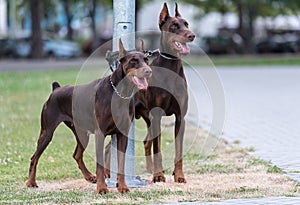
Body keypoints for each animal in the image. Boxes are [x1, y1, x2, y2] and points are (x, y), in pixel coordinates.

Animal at [25, 38, 152, 194]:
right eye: (133, 61)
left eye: (146, 59)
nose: (148, 71)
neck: (119, 93)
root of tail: (56, 89)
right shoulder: (100, 133)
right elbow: (100, 165)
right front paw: (102, 188)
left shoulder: (122, 135)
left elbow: (121, 164)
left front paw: (122, 186)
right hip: (47, 132)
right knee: (34, 157)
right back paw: (31, 182)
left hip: (82, 134)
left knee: (77, 155)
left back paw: (89, 176)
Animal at [104, 2, 196, 183]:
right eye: (174, 26)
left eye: (186, 24)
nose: (192, 35)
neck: (171, 67)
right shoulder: (157, 115)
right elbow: (157, 148)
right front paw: (159, 175)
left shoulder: (180, 117)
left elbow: (178, 150)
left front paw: (179, 175)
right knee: (109, 147)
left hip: (146, 117)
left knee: (146, 142)